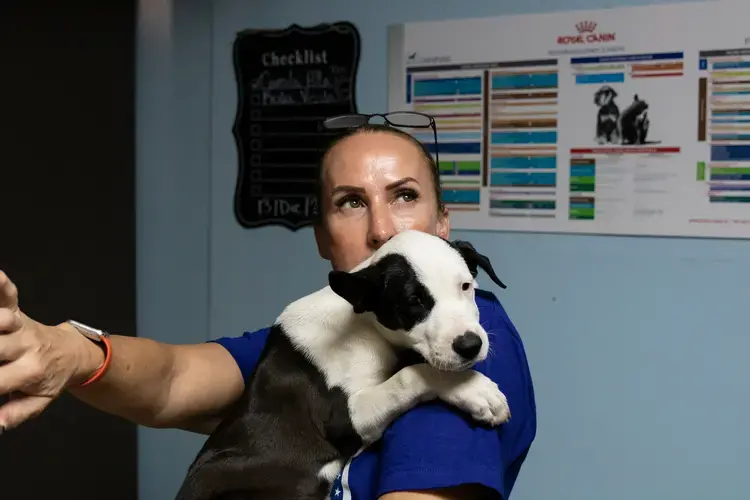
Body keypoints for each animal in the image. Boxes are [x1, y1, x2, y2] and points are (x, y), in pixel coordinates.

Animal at [177, 230, 516, 500]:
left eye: (466, 286)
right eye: (414, 302)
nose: (470, 345)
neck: (362, 322)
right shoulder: (343, 419)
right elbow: (410, 375)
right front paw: (476, 391)